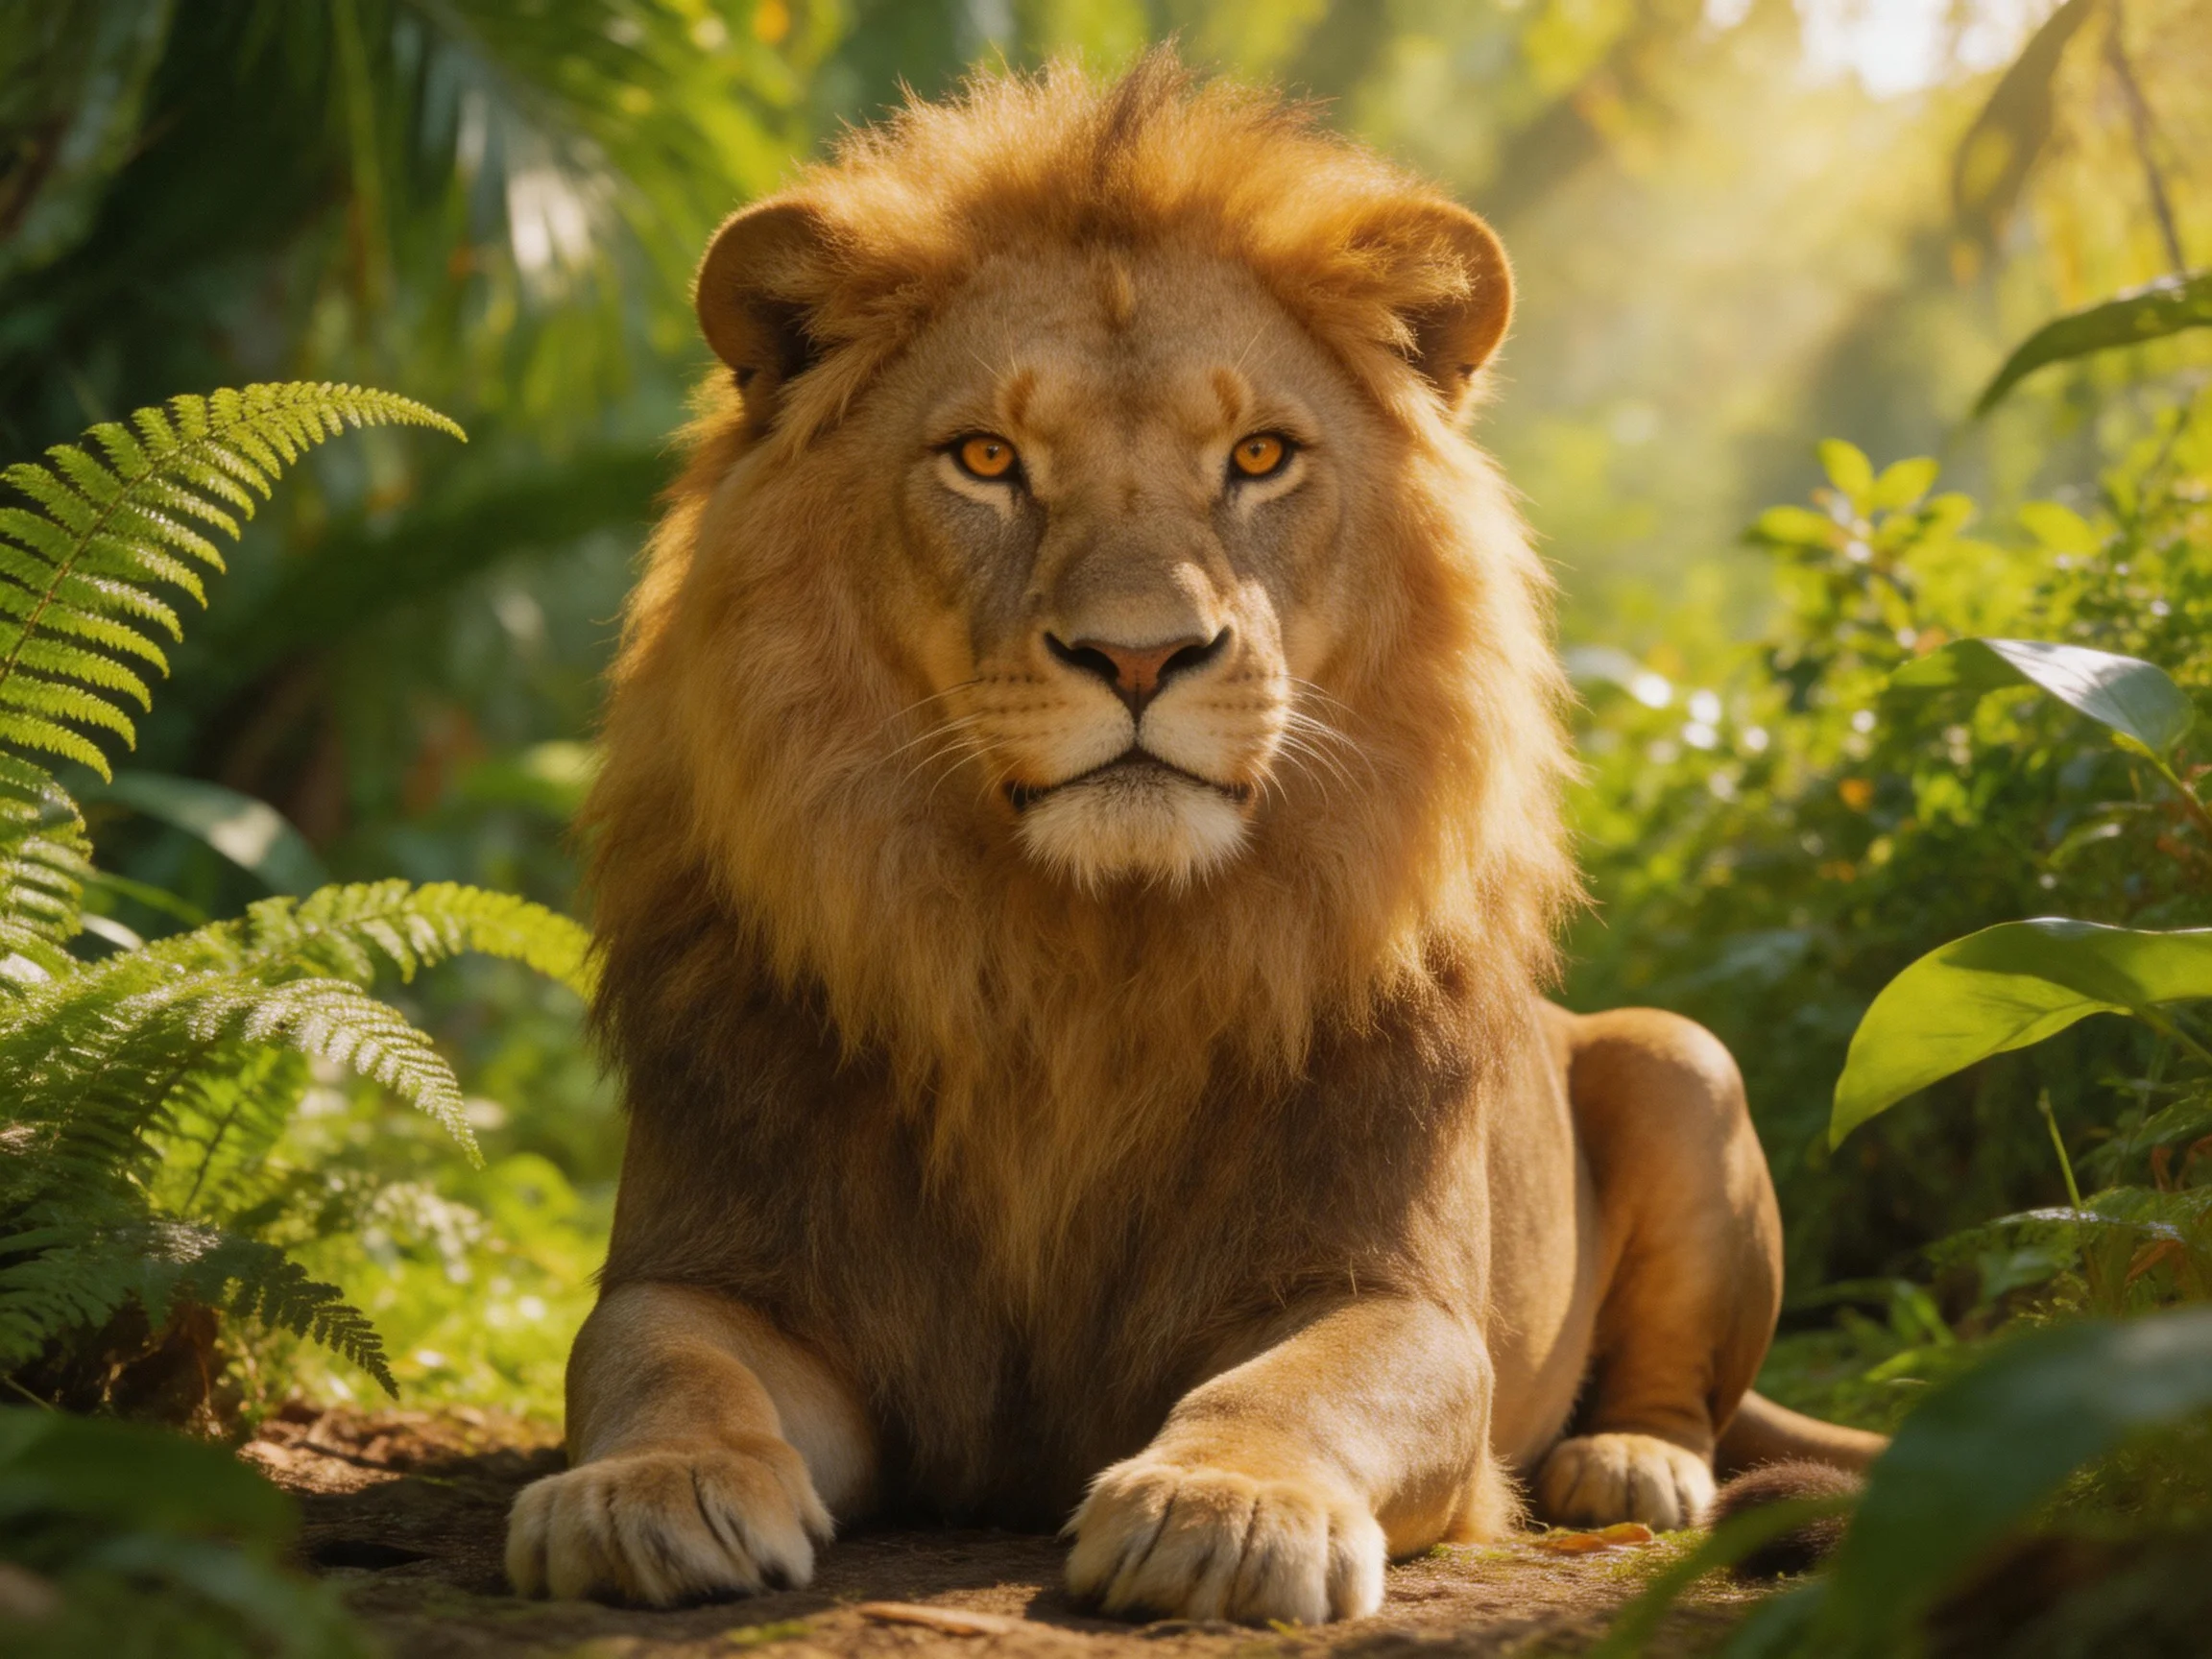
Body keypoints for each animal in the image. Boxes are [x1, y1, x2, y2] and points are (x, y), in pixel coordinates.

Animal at [504, 54, 1882, 1624]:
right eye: (987, 458)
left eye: (1260, 457)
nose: (1141, 654)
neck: (1079, 965)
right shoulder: (723, 1262)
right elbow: (655, 1358)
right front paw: (647, 1492)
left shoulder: (1387, 1290)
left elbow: (1302, 1388)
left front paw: (1227, 1506)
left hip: (1678, 1058)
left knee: (1689, 1392)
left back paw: (1629, 1466)